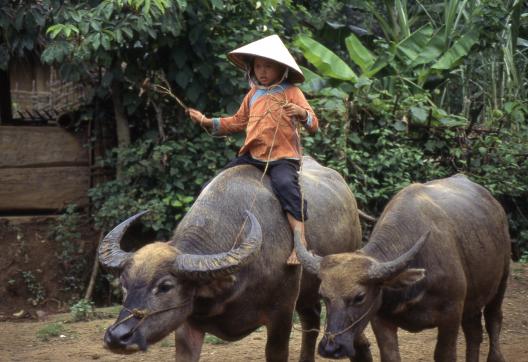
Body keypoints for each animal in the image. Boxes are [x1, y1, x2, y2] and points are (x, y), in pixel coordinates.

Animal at [98, 157, 372, 362]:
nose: (118, 337)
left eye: (165, 286)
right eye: (125, 285)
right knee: (311, 318)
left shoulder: (281, 314)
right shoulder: (187, 323)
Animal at [294, 174, 510, 360]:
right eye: (323, 295)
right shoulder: (381, 319)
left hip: (501, 281)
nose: (331, 348)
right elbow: (390, 355)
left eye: (359, 297)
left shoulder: (451, 314)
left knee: (493, 320)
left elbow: (445, 354)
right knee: (474, 331)